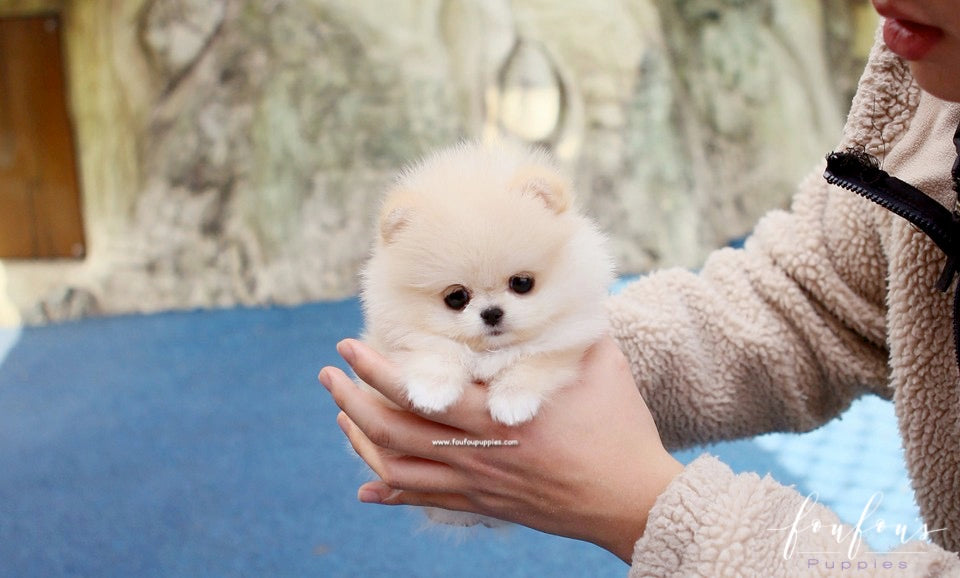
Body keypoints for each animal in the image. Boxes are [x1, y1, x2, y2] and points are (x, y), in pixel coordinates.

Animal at [360, 141, 616, 426]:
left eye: (522, 282)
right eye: (456, 297)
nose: (492, 313)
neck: (490, 354)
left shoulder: (566, 342)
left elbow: (536, 362)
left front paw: (512, 400)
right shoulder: (404, 337)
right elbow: (435, 350)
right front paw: (431, 388)